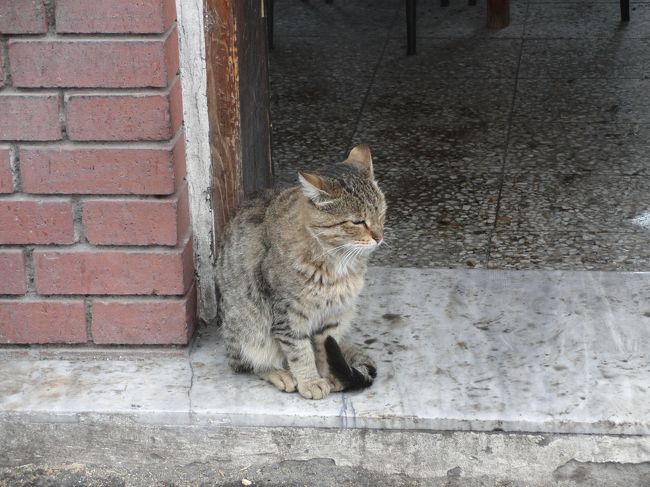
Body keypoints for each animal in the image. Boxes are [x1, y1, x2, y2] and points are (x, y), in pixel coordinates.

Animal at [215, 144, 384, 400]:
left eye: (382, 213)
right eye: (357, 222)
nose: (379, 237)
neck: (338, 263)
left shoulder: (332, 316)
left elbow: (324, 348)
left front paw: (328, 376)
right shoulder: (287, 313)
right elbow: (299, 350)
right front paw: (311, 381)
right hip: (248, 327)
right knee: (249, 363)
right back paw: (279, 373)